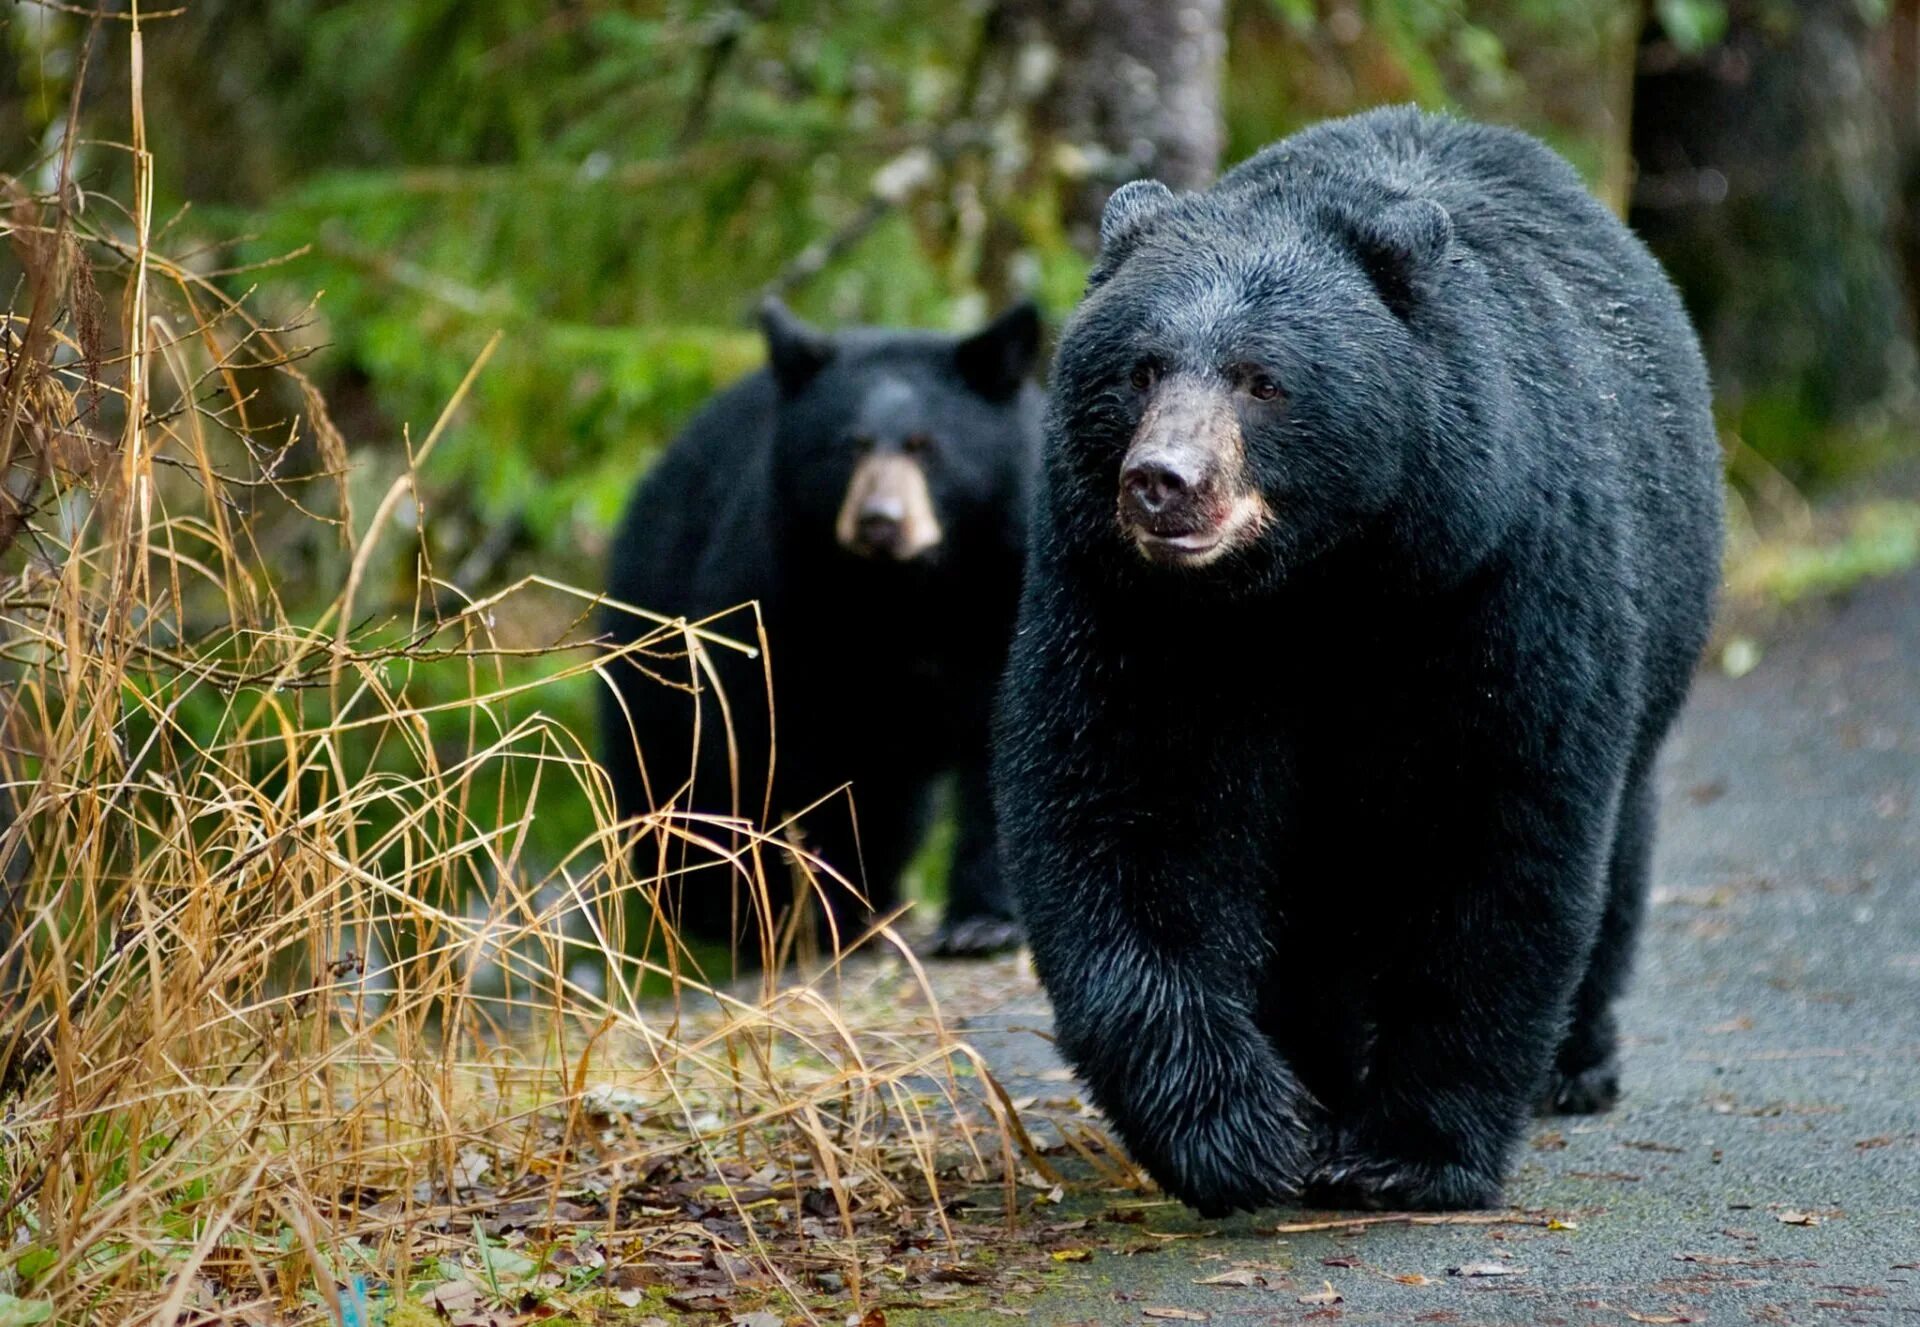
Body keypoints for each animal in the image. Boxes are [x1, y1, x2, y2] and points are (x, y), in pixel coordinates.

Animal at [602, 301, 1044, 960]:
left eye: (925, 447)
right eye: (850, 446)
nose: (880, 522)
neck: (907, 593)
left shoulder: (1009, 589)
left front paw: (981, 924)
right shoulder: (781, 599)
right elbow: (782, 748)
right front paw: (820, 915)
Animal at [998, 108, 1720, 1221]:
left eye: (1262, 378)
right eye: (1142, 366)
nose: (1163, 482)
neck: (1316, 590)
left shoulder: (1498, 575)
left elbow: (1496, 830)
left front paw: (1407, 1148)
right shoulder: (1135, 612)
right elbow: (1130, 811)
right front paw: (1237, 1127)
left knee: (1618, 838)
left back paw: (1575, 1061)